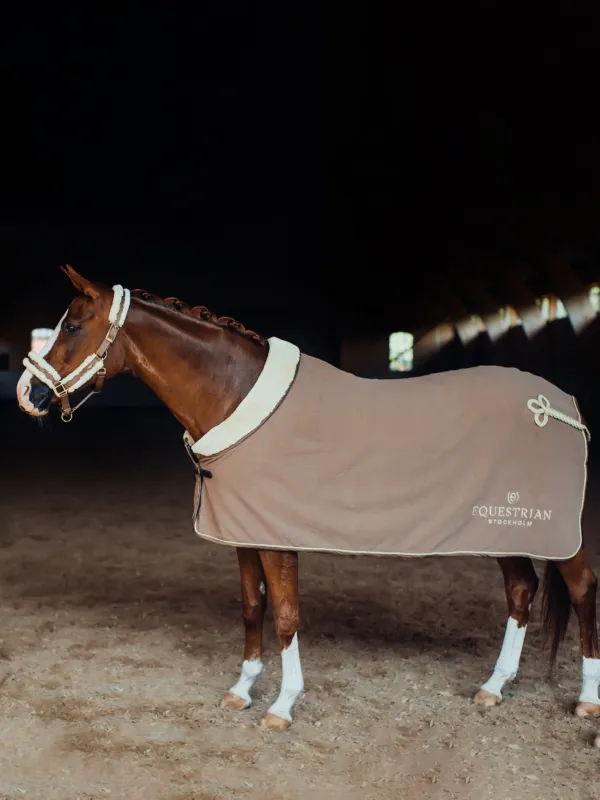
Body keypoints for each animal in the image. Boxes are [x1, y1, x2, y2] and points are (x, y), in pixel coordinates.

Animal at [16, 265, 600, 739]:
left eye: (71, 327)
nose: (28, 394)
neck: (234, 394)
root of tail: (561, 405)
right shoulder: (245, 534)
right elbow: (252, 608)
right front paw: (242, 690)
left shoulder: (276, 538)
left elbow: (285, 616)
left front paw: (282, 706)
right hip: (504, 528)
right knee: (521, 590)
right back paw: (494, 686)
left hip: (549, 531)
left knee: (580, 587)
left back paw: (586, 700)